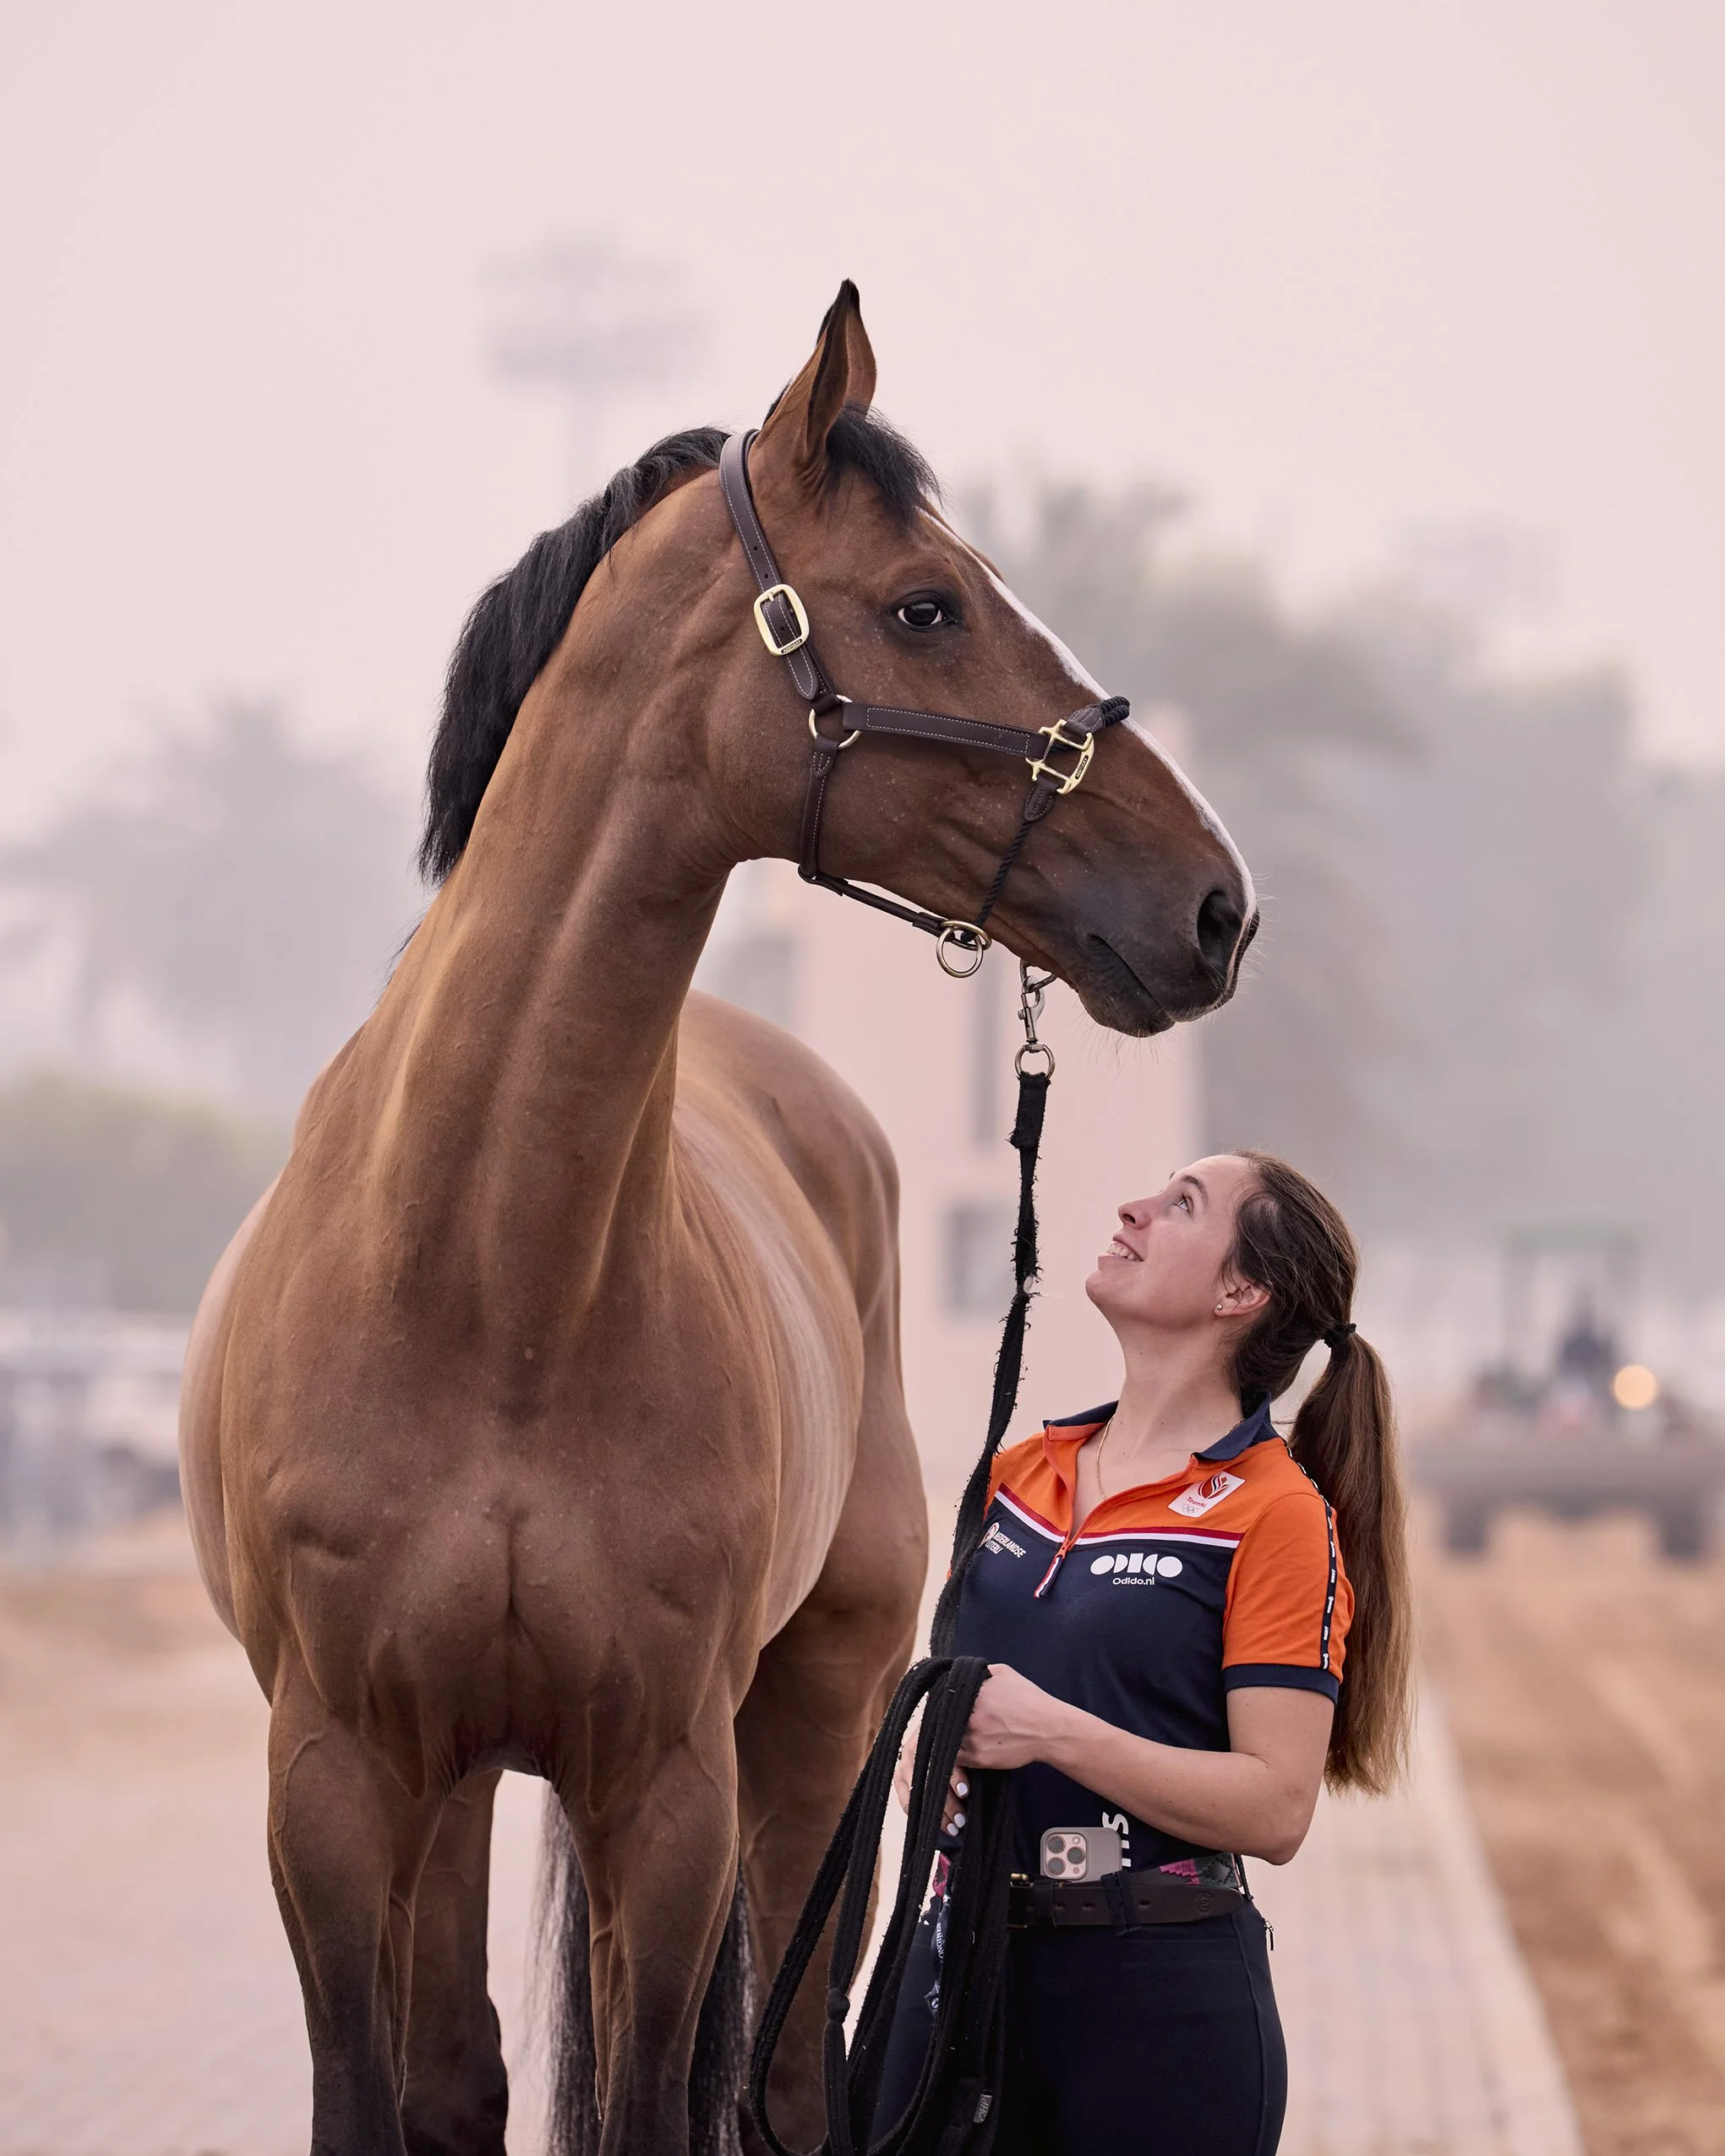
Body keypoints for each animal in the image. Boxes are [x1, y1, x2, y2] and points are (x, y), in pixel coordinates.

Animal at [178, 283, 1256, 2156]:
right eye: (927, 603)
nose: (1213, 903)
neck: (490, 1283)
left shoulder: (668, 1782)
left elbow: (655, 2104)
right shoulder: (333, 1780)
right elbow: (383, 2093)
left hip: (817, 1721)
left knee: (785, 2074)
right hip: (460, 1780)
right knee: (469, 2064)